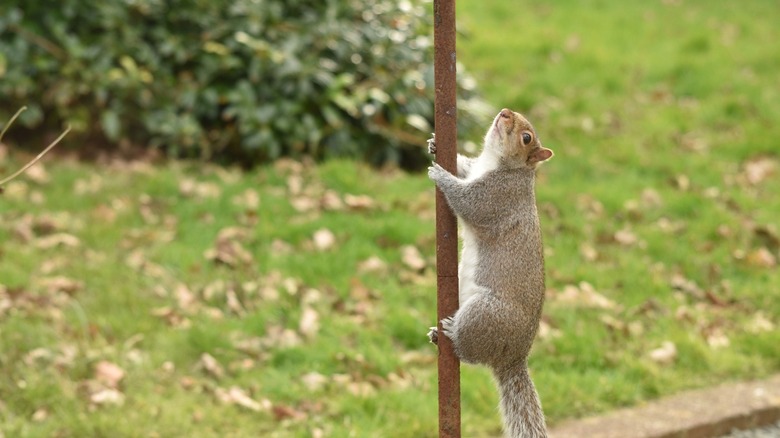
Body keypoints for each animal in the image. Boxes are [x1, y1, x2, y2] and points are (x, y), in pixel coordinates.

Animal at [427, 108, 553, 438]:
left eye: (526, 138)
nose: (506, 113)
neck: (495, 161)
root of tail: (512, 357)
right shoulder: (475, 169)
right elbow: (464, 165)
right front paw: (434, 145)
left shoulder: (496, 197)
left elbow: (467, 202)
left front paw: (439, 174)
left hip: (484, 314)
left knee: (469, 354)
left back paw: (451, 333)